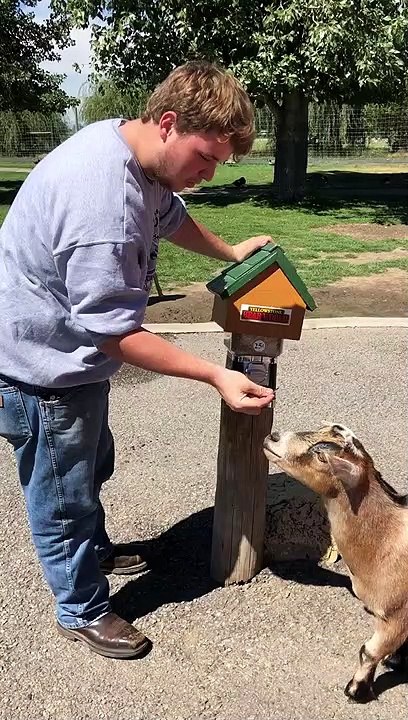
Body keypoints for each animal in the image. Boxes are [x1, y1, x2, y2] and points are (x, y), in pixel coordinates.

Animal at [263, 423, 408, 703]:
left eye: (322, 456)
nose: (272, 437)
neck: (385, 539)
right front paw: (397, 660)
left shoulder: (396, 615)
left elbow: (369, 651)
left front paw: (356, 690)